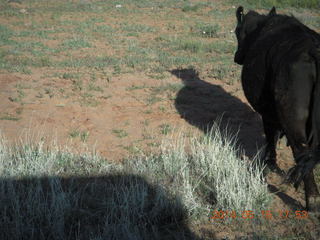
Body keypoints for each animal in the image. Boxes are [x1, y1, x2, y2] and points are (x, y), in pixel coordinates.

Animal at [232, 6, 320, 212]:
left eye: (237, 31)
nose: (237, 57)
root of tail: (313, 49)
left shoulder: (268, 113)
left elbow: (271, 136)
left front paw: (268, 163)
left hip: (293, 117)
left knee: (301, 152)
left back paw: (312, 200)